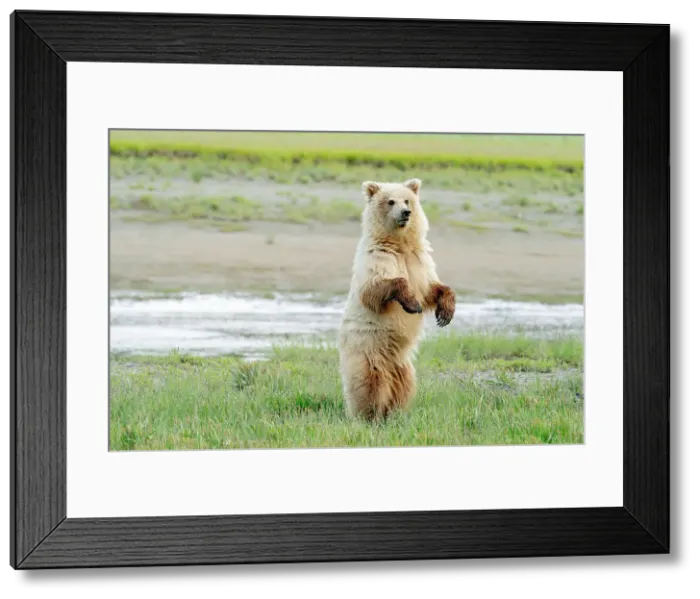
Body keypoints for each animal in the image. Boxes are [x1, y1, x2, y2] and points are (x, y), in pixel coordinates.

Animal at [337, 178, 456, 421]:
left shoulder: (418, 261)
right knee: (371, 384)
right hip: (368, 351)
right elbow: (374, 289)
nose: (405, 213)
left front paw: (445, 313)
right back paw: (369, 415)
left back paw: (396, 413)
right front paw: (412, 304)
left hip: (401, 364)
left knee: (404, 385)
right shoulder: (378, 259)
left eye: (407, 200)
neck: (400, 245)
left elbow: (431, 288)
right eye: (390, 201)